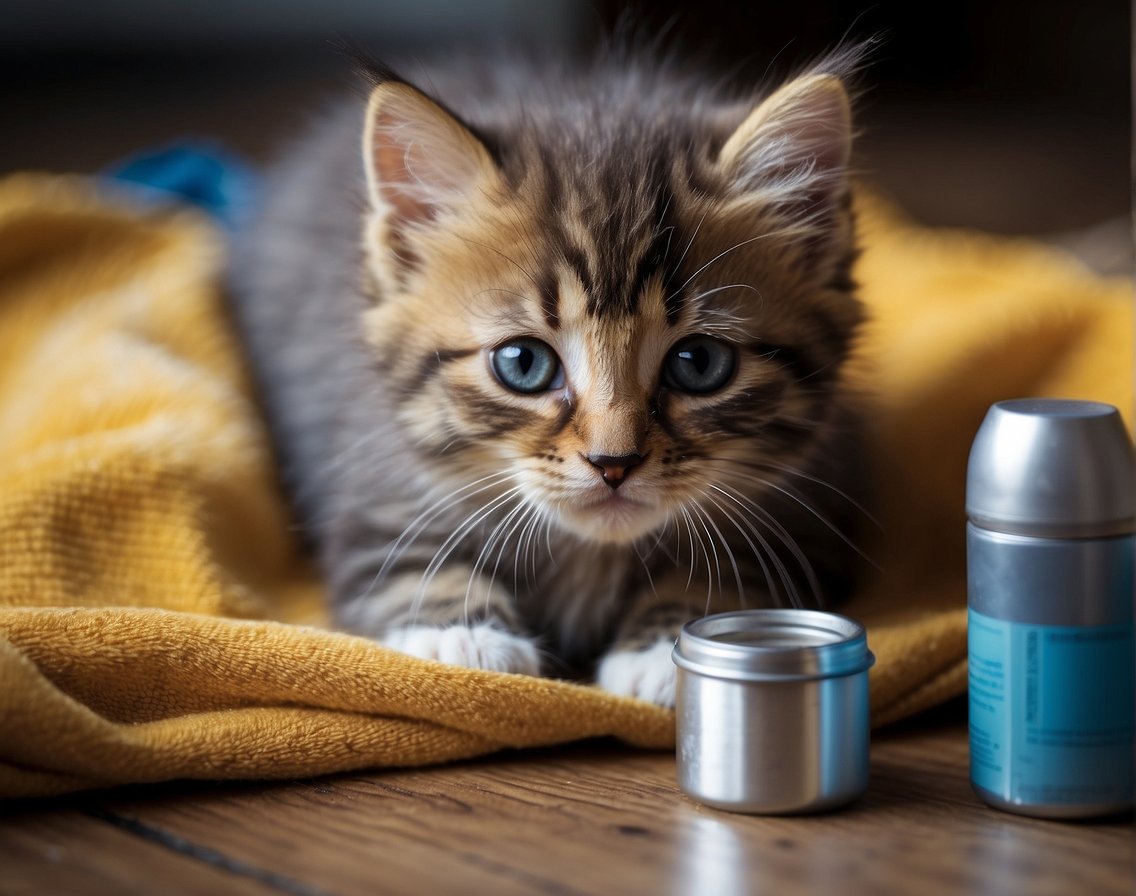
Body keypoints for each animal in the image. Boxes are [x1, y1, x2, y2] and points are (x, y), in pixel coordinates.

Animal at [232, 47, 867, 704]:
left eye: (698, 363)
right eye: (523, 364)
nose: (614, 463)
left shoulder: (814, 504)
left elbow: (735, 569)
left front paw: (669, 644)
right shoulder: (372, 483)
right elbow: (398, 561)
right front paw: (461, 634)